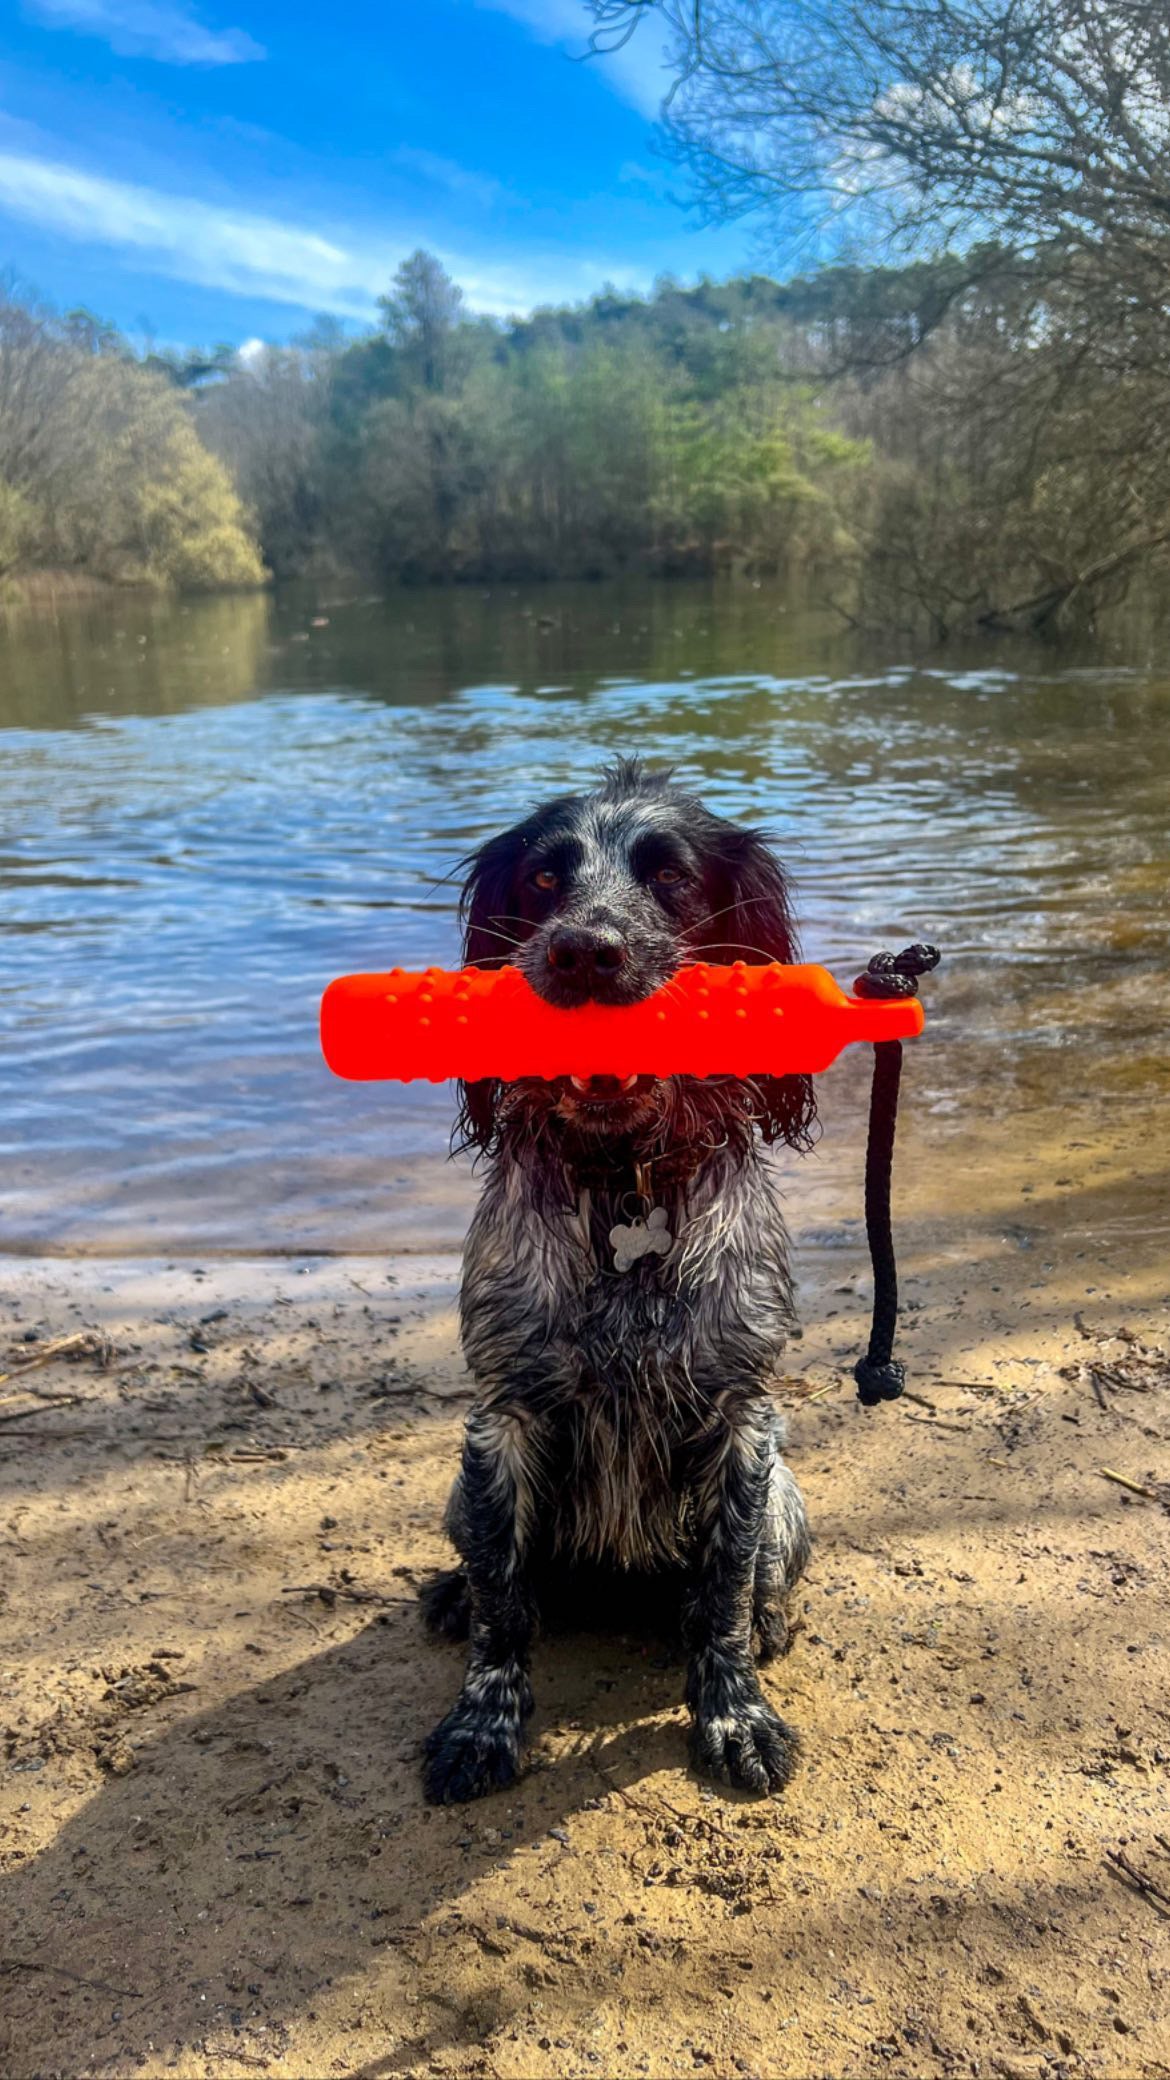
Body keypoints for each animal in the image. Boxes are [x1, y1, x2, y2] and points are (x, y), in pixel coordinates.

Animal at [418, 761, 811, 1805]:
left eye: (669, 875)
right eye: (545, 881)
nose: (586, 952)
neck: (622, 1176)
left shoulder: (743, 1421)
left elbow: (720, 1596)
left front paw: (735, 1716)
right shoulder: (503, 1416)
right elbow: (504, 1606)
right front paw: (480, 1726)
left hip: (790, 1495)